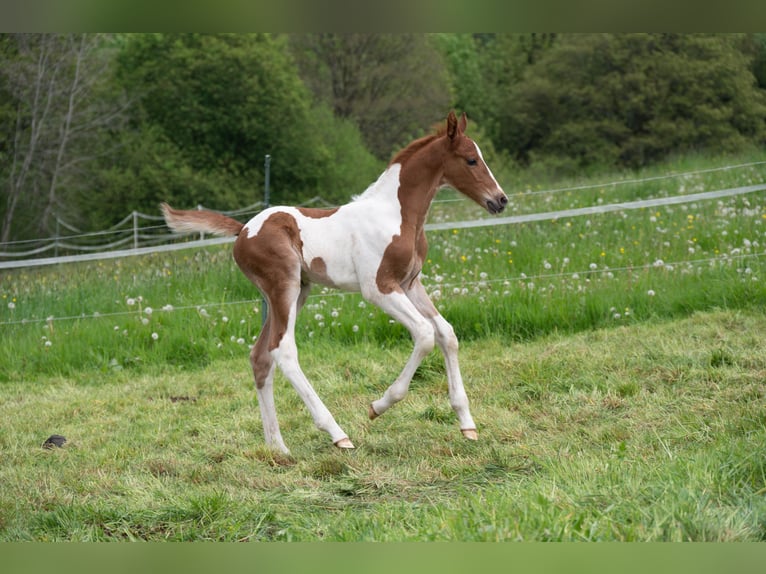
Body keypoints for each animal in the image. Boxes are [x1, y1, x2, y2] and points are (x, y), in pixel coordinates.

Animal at [164, 111, 504, 454]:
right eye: (471, 159)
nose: (500, 200)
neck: (396, 215)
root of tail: (244, 229)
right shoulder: (378, 288)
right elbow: (424, 334)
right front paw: (378, 406)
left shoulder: (410, 283)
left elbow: (446, 333)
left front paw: (467, 424)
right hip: (284, 287)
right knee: (283, 350)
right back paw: (337, 433)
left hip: (296, 292)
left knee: (260, 356)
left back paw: (278, 448)